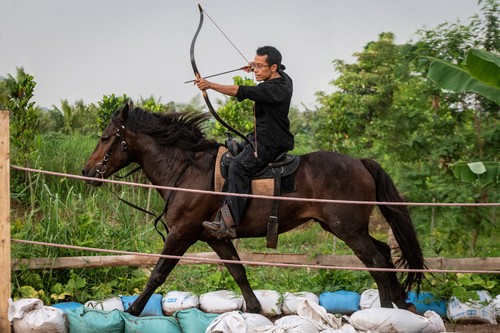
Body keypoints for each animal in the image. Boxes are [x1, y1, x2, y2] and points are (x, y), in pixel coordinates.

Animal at [83, 103, 426, 314]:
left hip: (348, 230)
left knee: (376, 260)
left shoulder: (182, 234)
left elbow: (158, 273)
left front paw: (133, 309)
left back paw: (387, 308)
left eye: (105, 137)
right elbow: (238, 271)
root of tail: (361, 163)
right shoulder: (215, 237)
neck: (187, 171)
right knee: (383, 251)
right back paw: (400, 303)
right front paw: (255, 309)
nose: (87, 172)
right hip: (344, 227)